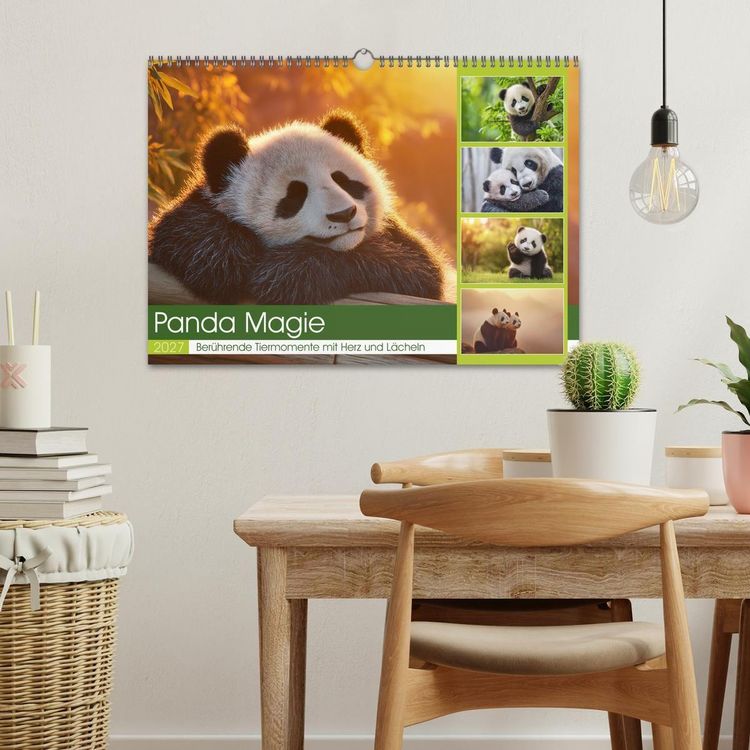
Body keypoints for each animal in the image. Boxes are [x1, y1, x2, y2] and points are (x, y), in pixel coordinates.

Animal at [148, 111, 448, 304]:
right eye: (294, 196)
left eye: (343, 180)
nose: (344, 214)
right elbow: (180, 229)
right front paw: (224, 262)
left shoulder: (396, 242)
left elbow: (417, 268)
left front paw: (284, 276)